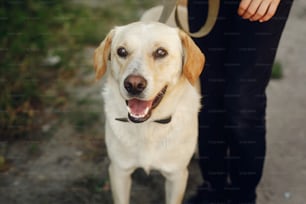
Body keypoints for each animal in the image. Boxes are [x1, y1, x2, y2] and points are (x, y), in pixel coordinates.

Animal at [93, 21, 203, 204]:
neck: (148, 126)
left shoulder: (177, 176)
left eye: (161, 52)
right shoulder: (118, 171)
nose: (134, 85)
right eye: (121, 51)